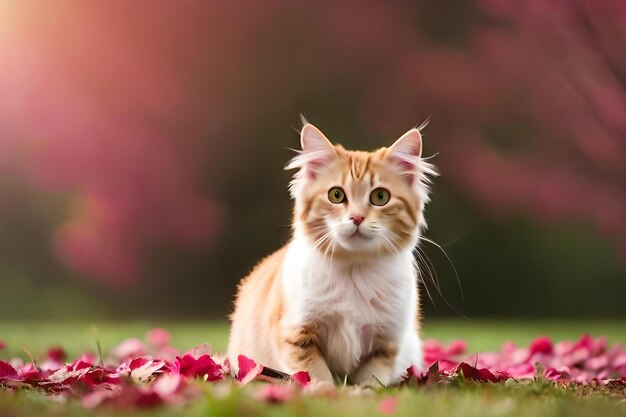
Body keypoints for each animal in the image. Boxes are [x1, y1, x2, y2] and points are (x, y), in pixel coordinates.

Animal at [227, 121, 436, 390]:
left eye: (380, 197)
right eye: (336, 195)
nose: (356, 218)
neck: (354, 271)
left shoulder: (385, 344)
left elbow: (372, 378)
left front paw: (363, 393)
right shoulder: (297, 335)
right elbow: (315, 373)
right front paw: (327, 391)